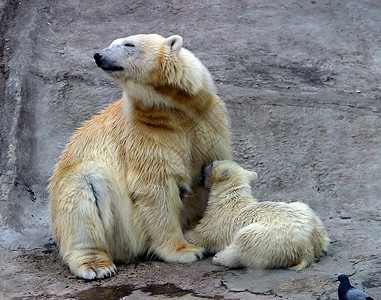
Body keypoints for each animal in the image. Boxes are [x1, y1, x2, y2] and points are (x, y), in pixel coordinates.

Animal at [49, 34, 230, 280]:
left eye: (128, 44)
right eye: (113, 43)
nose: (98, 55)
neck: (175, 108)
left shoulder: (208, 121)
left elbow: (209, 171)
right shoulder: (145, 134)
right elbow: (156, 189)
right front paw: (185, 250)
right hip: (88, 205)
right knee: (82, 195)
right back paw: (96, 265)